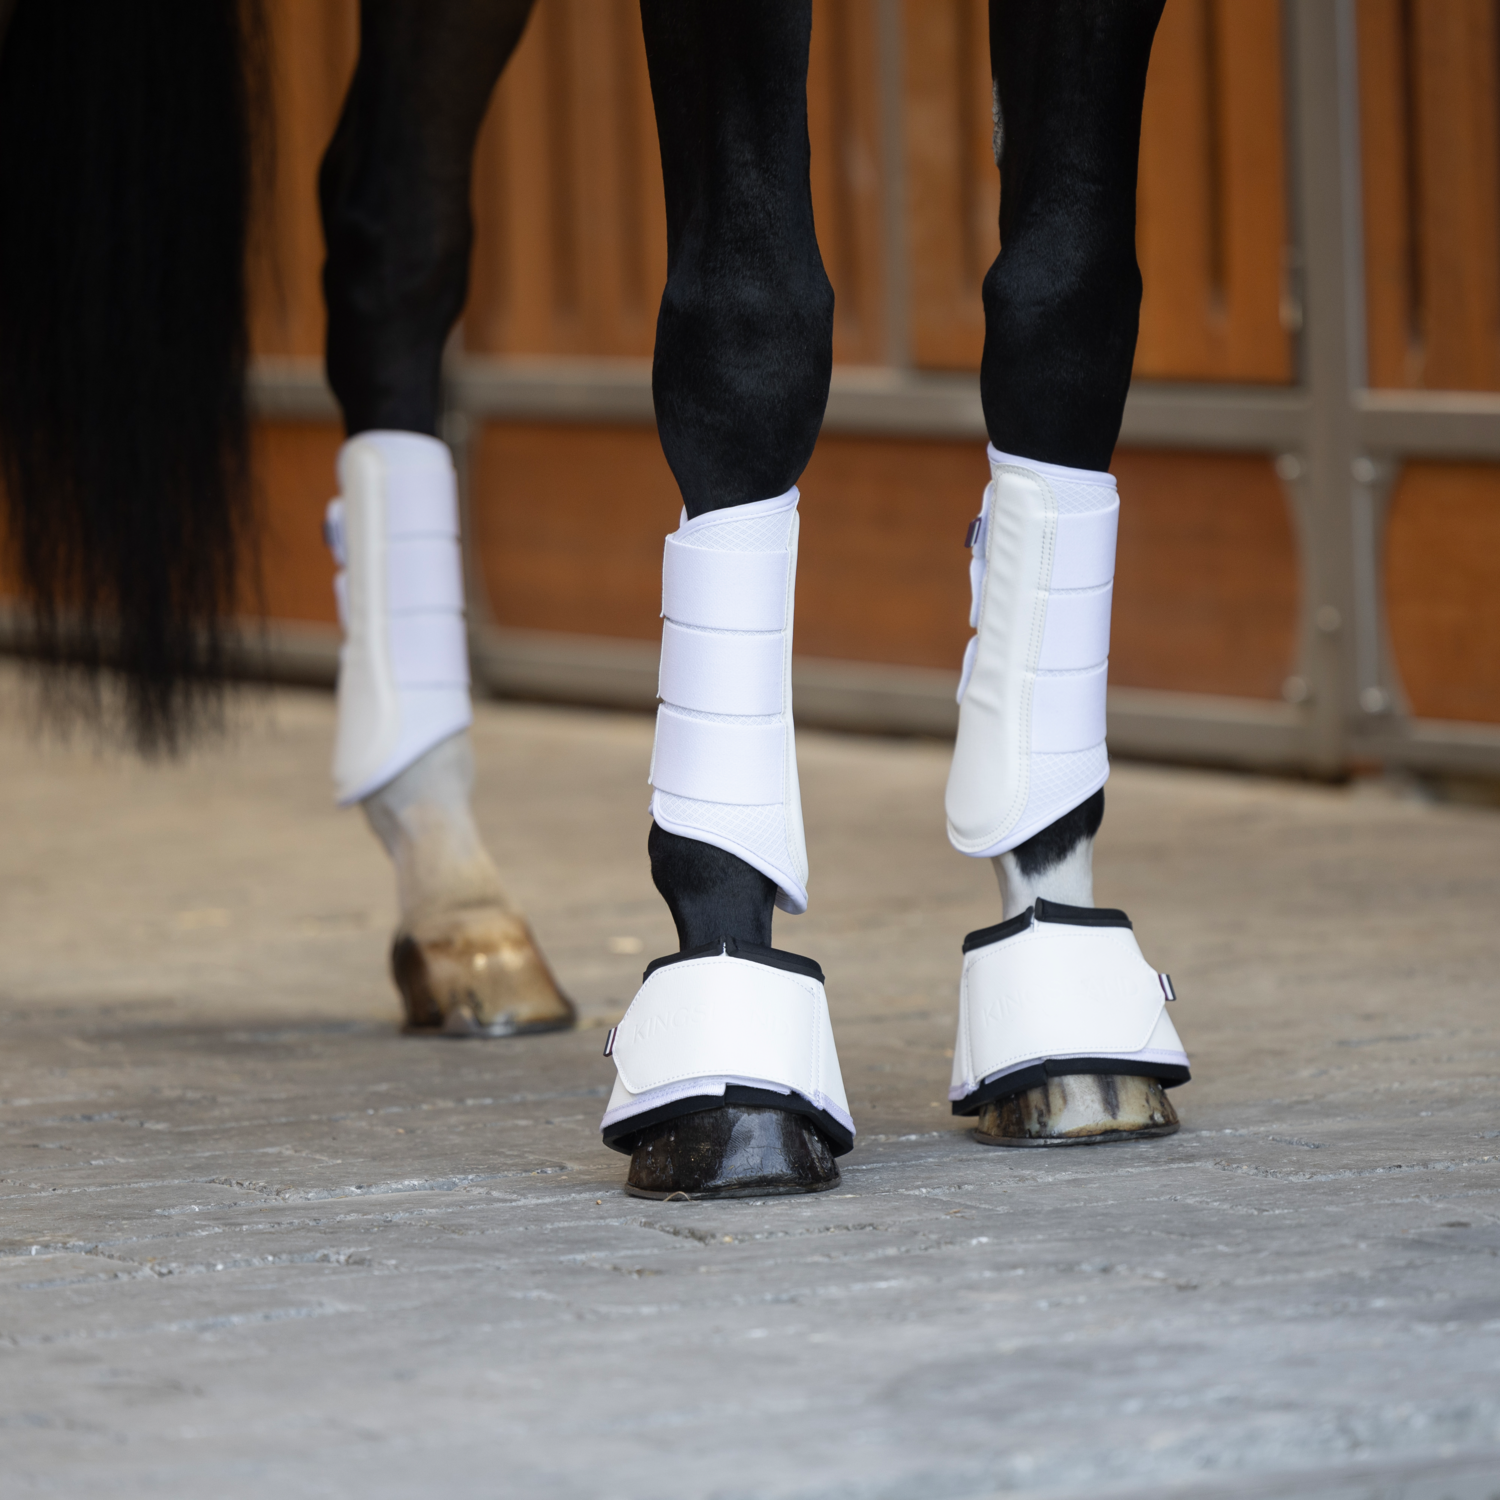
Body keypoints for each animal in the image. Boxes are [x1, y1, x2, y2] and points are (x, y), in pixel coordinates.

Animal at [0, 0, 1188, 1201]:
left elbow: (1066, 302)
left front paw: (1062, 989)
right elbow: (749, 329)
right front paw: (734, 1073)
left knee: (393, 234)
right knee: (392, 241)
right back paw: (454, 889)